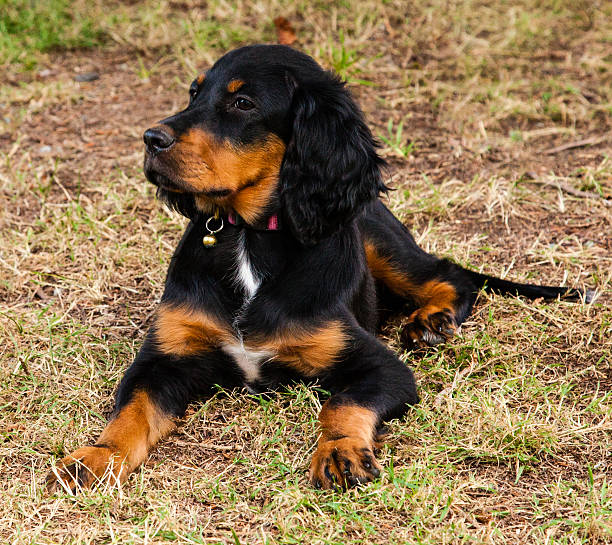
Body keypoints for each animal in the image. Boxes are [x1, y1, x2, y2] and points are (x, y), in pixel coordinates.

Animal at [46, 44, 588, 490]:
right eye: (194, 92)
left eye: (243, 104)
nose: (150, 138)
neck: (250, 237)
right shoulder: (163, 359)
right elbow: (132, 411)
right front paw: (96, 457)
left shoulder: (381, 367)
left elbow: (341, 403)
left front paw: (340, 453)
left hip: (376, 239)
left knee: (450, 273)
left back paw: (432, 320)